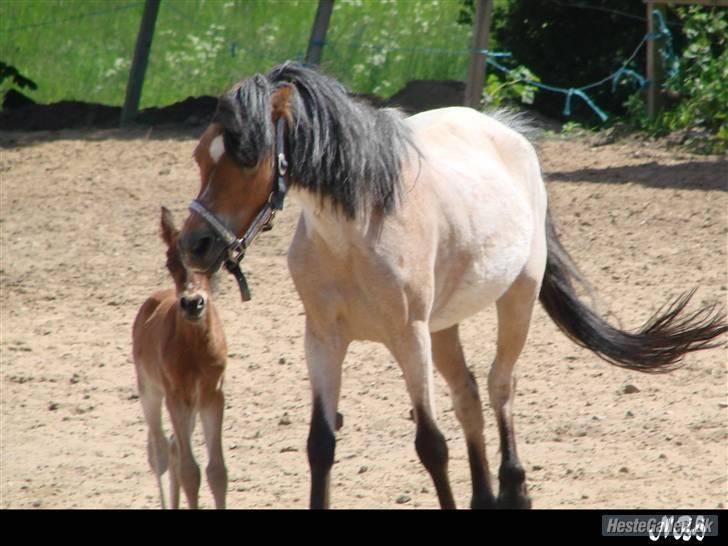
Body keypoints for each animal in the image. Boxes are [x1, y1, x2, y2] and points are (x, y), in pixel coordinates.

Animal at [132, 207, 228, 509]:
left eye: (211, 262)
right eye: (169, 262)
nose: (192, 303)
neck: (195, 349)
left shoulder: (211, 396)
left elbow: (216, 471)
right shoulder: (176, 397)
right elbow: (190, 472)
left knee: (173, 447)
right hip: (150, 391)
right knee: (160, 451)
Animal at [177, 62, 726, 509]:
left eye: (249, 159)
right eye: (201, 156)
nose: (196, 245)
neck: (355, 233)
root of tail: (505, 130)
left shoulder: (409, 337)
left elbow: (430, 444)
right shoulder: (324, 340)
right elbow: (321, 445)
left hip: (516, 301)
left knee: (501, 386)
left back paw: (513, 489)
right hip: (444, 327)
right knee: (468, 397)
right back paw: (484, 496)